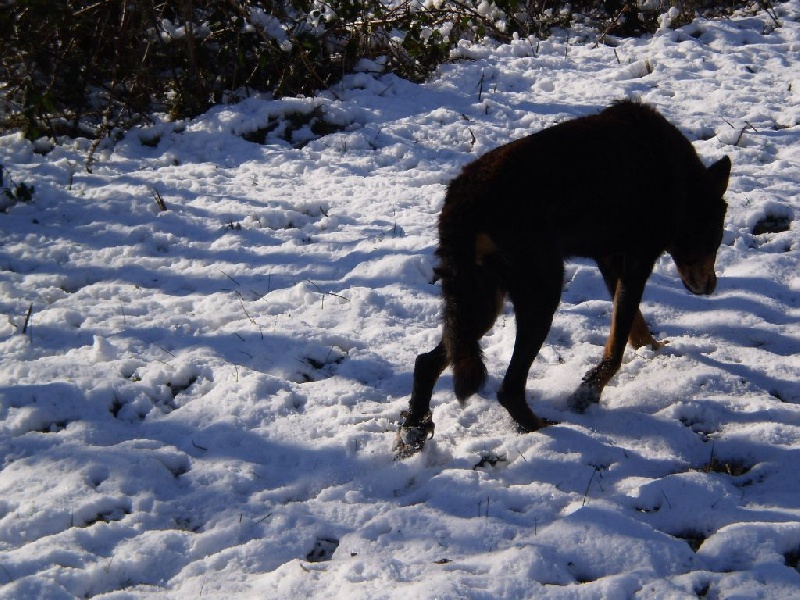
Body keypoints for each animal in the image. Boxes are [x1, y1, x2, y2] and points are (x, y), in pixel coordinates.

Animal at [394, 102, 732, 460]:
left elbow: (632, 327)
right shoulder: (637, 261)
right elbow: (617, 342)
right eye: (715, 239)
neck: (680, 179)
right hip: (540, 294)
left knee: (426, 362)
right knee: (509, 388)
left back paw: (413, 432)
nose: (711, 286)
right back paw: (543, 429)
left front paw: (651, 351)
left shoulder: (611, 260)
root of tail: (462, 203)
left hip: (480, 301)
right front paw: (588, 392)